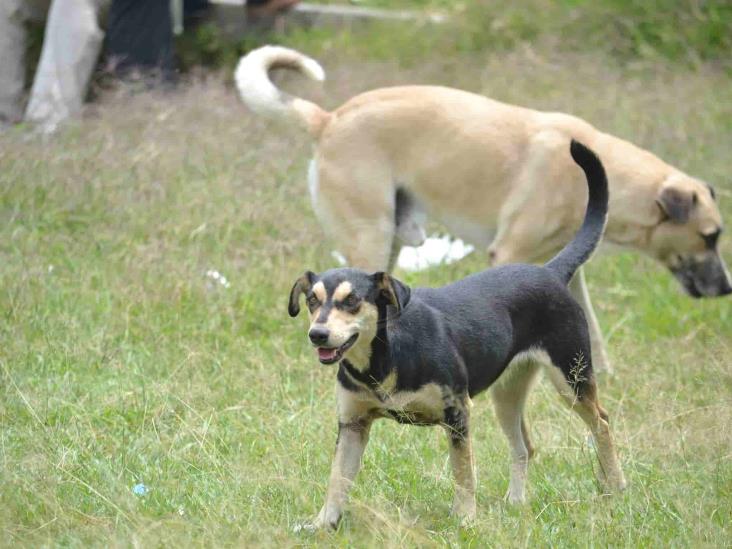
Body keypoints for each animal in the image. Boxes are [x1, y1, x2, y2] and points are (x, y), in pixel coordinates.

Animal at [237, 46, 728, 372]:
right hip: (370, 237)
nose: (725, 288)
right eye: (710, 236)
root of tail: (329, 118)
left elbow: (591, 328)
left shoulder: (567, 270)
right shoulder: (508, 254)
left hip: (389, 245)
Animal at [288, 141, 628, 528]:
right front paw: (323, 524)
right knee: (525, 446)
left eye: (352, 301)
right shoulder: (352, 424)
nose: (317, 334)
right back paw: (516, 502)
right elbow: (337, 480)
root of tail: (551, 272)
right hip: (506, 395)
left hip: (572, 379)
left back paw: (615, 487)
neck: (384, 359)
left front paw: (465, 520)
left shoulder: (458, 414)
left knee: (602, 424)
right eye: (312, 300)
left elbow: (463, 474)